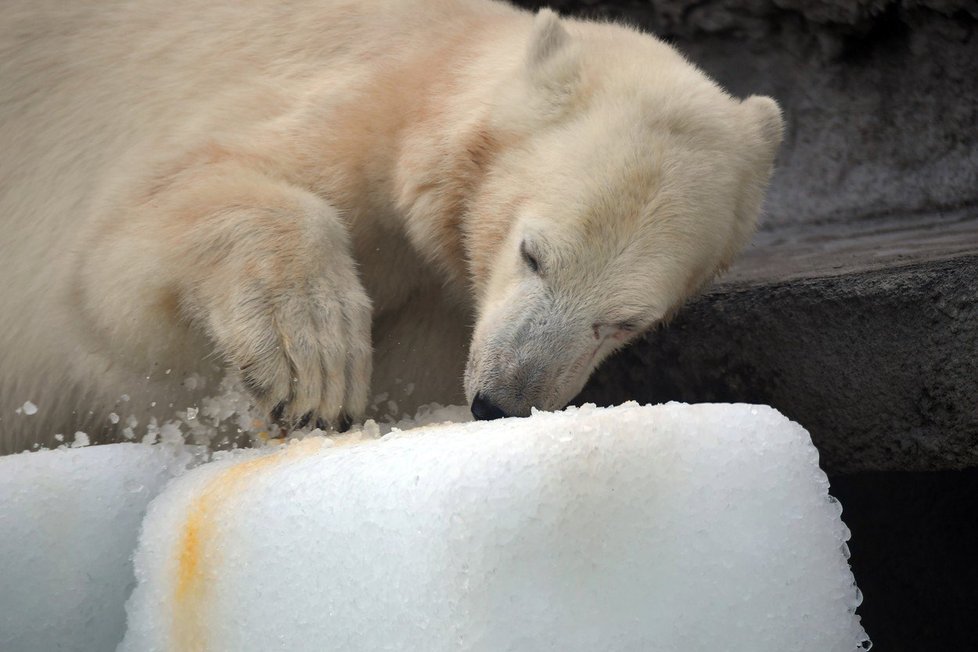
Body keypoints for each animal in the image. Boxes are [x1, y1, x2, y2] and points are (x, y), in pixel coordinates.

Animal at [0, 0, 776, 454]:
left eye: (624, 322)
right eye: (533, 254)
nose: (499, 401)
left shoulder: (444, 305)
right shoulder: (356, 110)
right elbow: (116, 269)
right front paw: (314, 362)